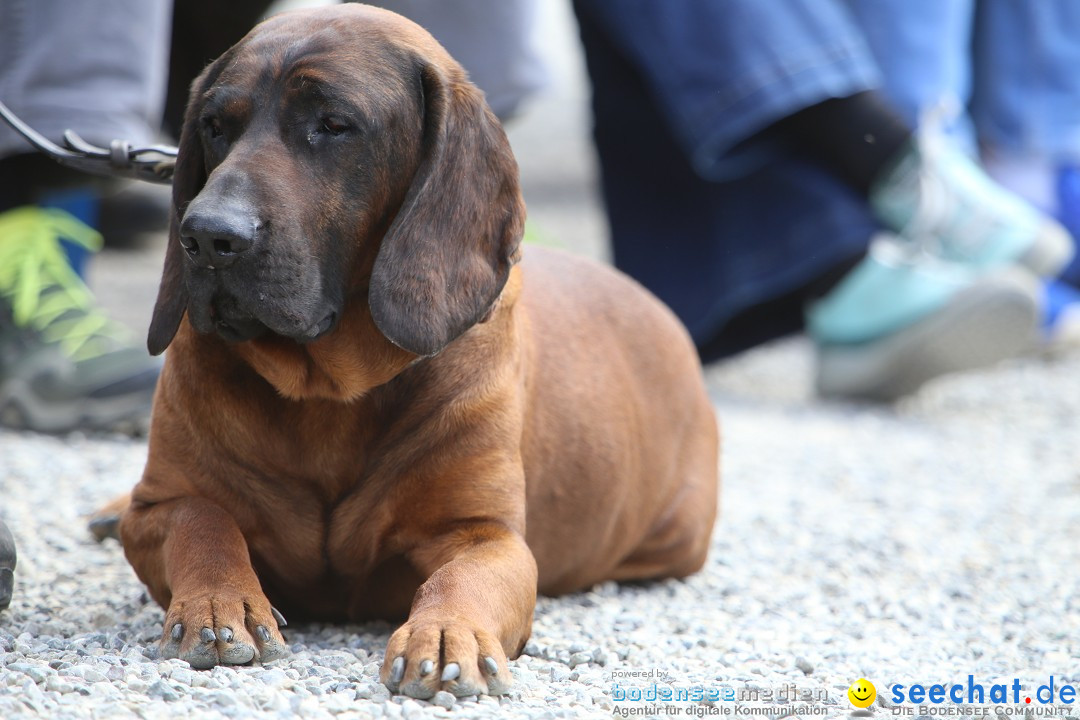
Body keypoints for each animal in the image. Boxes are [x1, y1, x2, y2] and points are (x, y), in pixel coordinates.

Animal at [118, 2, 721, 699]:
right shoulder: (155, 508)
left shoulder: (486, 536)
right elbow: (201, 521)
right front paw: (219, 602)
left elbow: (463, 577)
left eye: (334, 125)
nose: (208, 236)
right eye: (214, 126)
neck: (327, 391)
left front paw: (446, 633)